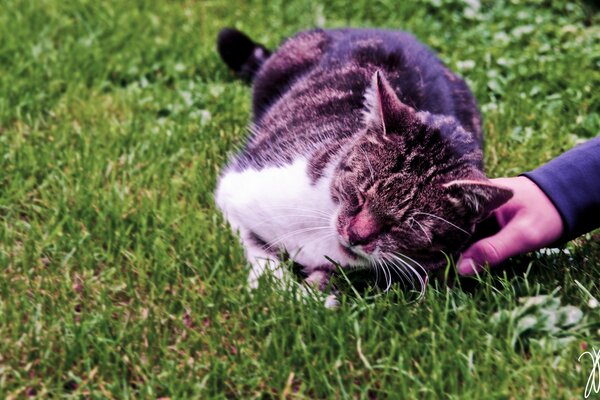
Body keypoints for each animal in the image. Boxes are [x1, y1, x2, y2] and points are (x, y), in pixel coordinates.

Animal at [214, 27, 510, 296]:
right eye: (360, 193)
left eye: (407, 225)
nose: (355, 236)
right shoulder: (237, 187)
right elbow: (257, 247)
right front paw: (277, 286)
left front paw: (311, 293)